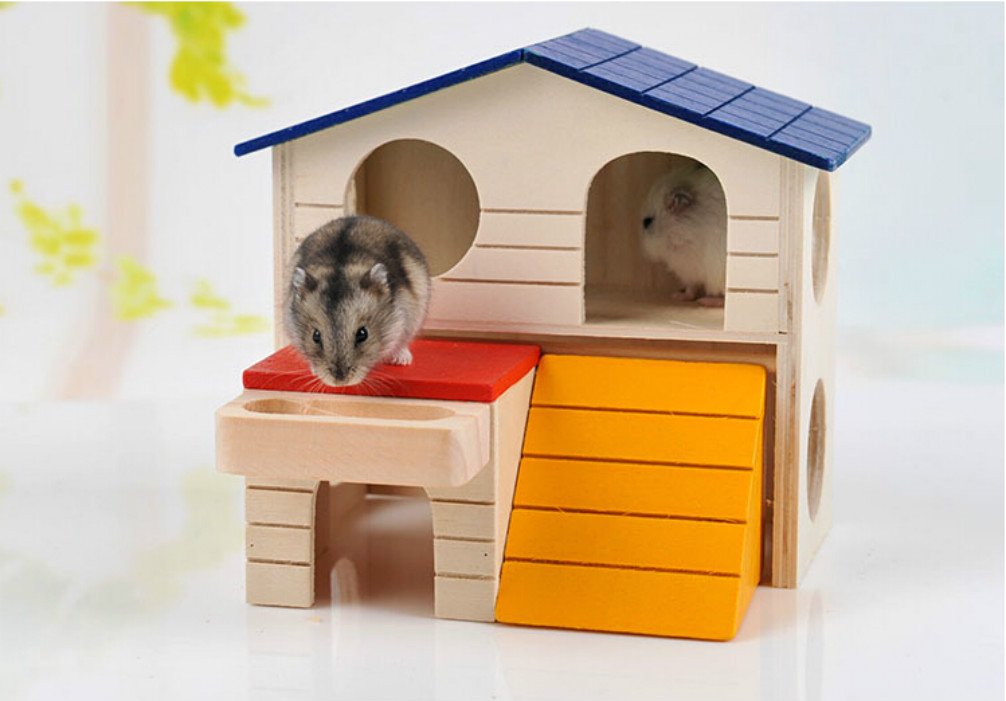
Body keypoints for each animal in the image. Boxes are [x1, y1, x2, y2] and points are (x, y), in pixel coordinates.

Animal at [639, 160, 727, 307]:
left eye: (647, 222)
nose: (643, 254)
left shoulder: (687, 268)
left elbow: (691, 289)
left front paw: (677, 296)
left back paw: (706, 300)